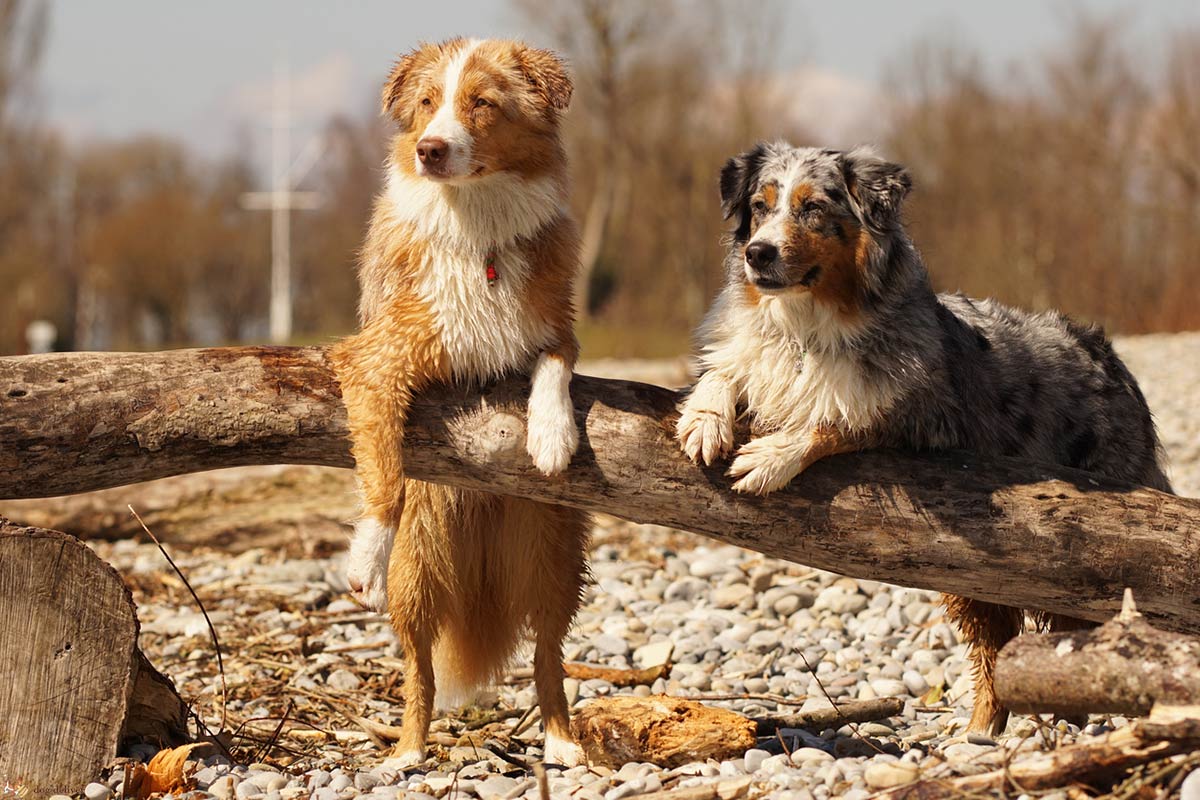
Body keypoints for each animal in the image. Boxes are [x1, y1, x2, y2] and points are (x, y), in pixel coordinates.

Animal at [328, 38, 590, 767]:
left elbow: (554, 368)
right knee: (418, 671)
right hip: (417, 577)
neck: (477, 226)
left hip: (554, 562)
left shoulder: (555, 329)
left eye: (482, 103)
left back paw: (562, 743)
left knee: (550, 658)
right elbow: (386, 476)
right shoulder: (376, 360)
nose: (430, 150)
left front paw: (551, 436)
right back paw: (407, 753)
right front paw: (363, 552)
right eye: (426, 104)